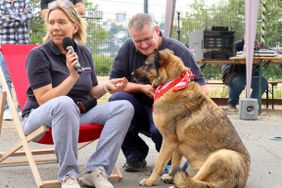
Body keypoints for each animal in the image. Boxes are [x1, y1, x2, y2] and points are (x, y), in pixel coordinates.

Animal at [133, 48, 250, 188]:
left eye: (146, 64)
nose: (131, 74)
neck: (172, 83)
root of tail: (240, 181)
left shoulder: (169, 140)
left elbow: (159, 163)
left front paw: (150, 180)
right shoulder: (176, 144)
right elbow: (175, 163)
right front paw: (170, 176)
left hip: (220, 156)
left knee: (196, 182)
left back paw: (176, 185)